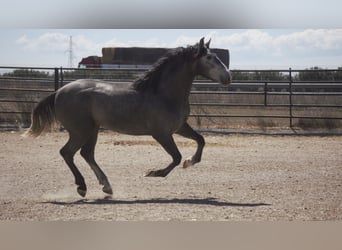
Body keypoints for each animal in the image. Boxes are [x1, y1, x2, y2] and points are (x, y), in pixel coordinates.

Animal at [25, 37, 231, 197]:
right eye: (210, 57)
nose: (228, 77)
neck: (163, 93)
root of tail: (59, 92)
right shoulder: (161, 133)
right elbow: (176, 157)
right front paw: (153, 173)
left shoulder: (180, 127)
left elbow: (200, 141)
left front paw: (190, 162)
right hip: (80, 131)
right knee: (67, 152)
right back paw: (82, 187)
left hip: (92, 130)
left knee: (86, 154)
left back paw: (106, 186)